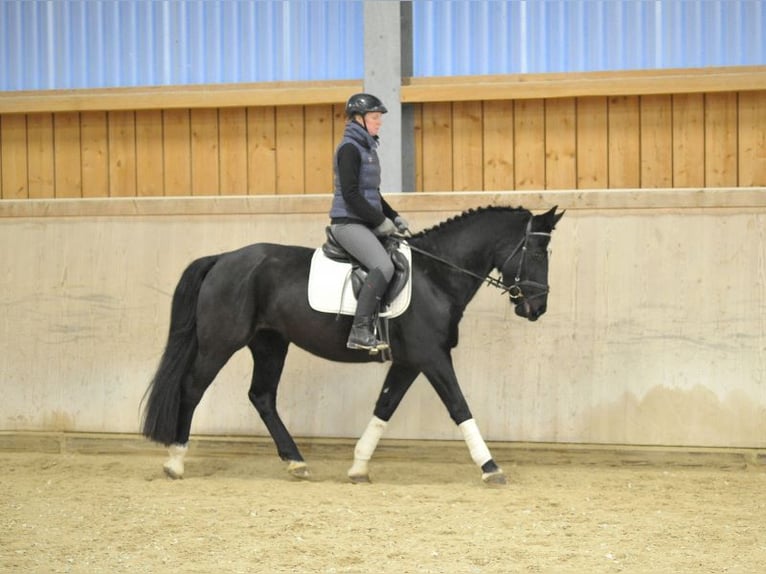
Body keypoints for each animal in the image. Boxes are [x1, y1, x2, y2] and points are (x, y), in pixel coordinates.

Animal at [142, 206, 564, 486]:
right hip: (221, 343)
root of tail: (222, 259)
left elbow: (384, 407)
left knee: (261, 396)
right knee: (192, 389)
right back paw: (175, 461)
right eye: (536, 252)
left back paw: (295, 462)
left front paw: (359, 466)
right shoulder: (432, 357)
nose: (537, 308)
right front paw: (490, 466)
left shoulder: (409, 362)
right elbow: (459, 406)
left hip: (270, 344)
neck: (437, 275)